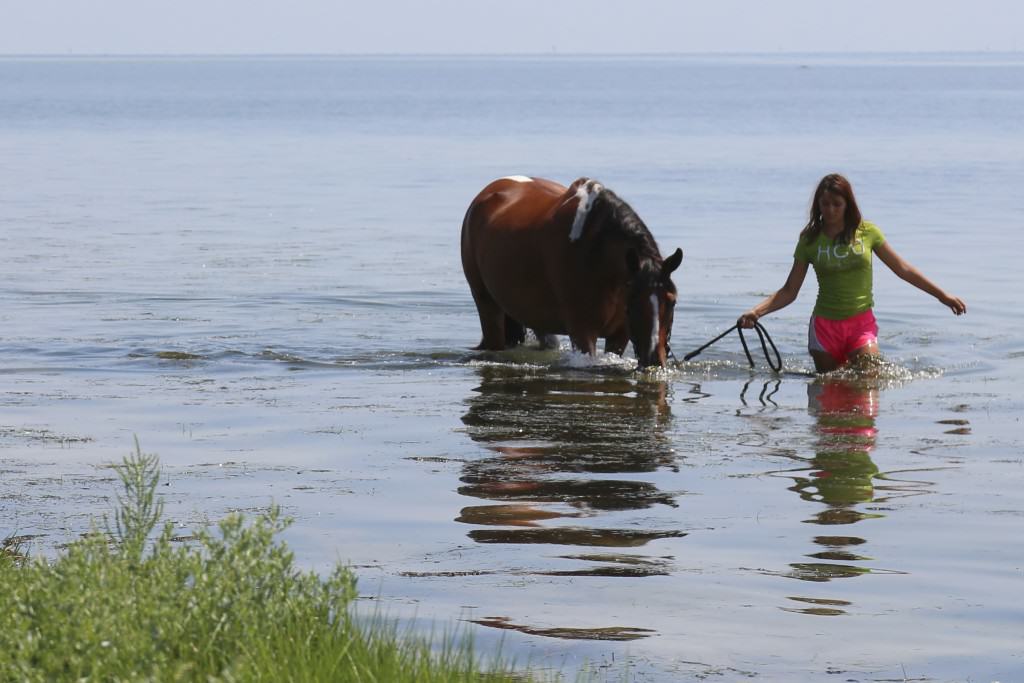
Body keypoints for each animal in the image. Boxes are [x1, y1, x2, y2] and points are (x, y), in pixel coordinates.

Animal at [460, 176, 684, 368]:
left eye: (672, 301)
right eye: (633, 302)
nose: (653, 359)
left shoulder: (620, 335)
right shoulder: (582, 333)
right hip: (487, 306)